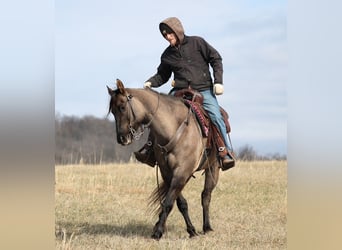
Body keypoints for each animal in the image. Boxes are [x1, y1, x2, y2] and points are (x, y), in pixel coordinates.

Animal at [108, 79, 223, 239]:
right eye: (112, 111)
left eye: (122, 107)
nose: (122, 139)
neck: (173, 129)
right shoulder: (168, 172)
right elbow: (179, 203)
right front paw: (191, 230)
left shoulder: (182, 172)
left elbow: (169, 202)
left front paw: (158, 232)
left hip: (213, 167)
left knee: (206, 196)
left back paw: (207, 227)